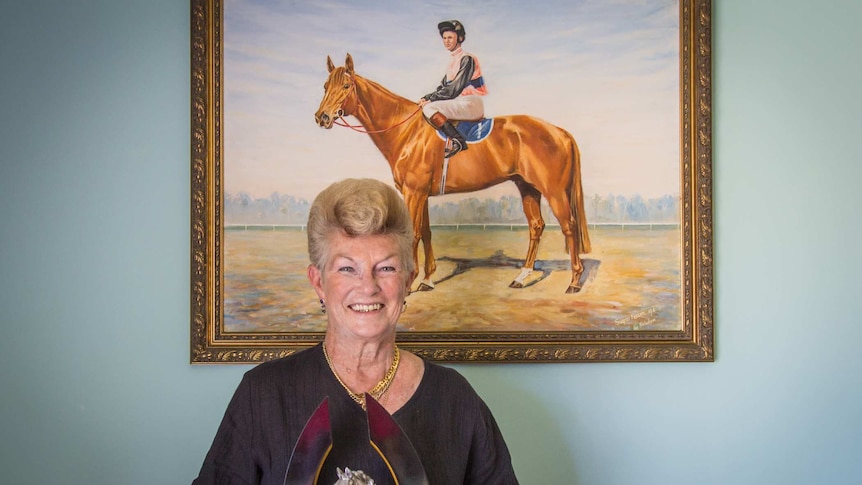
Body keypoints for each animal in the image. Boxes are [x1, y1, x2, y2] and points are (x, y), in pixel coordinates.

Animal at [318, 54, 592, 294]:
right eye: (325, 86)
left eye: (345, 86)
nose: (322, 117)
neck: (408, 131)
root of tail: (559, 131)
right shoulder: (420, 194)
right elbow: (426, 233)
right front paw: (427, 279)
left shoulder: (414, 193)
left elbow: (414, 234)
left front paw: (410, 283)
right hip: (527, 188)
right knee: (536, 226)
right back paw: (522, 277)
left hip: (554, 192)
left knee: (569, 226)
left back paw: (574, 281)